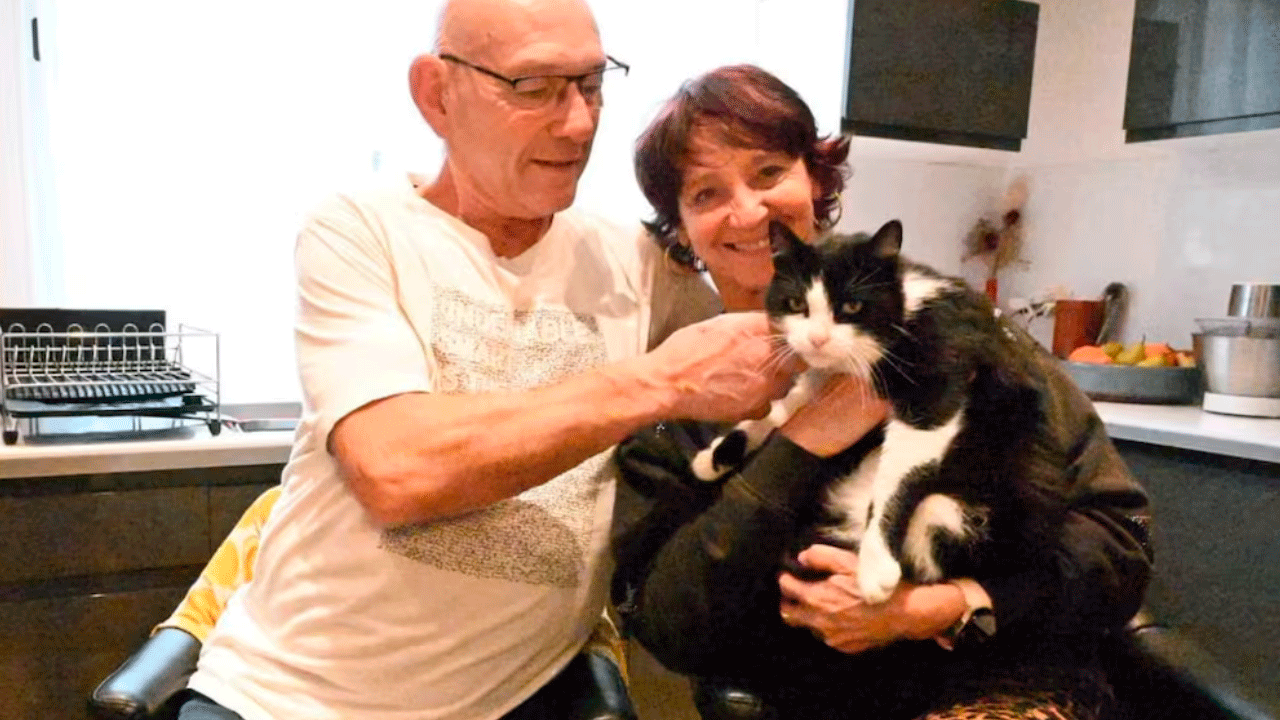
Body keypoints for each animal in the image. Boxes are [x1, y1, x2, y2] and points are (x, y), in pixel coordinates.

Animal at [692, 219, 1066, 604]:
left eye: (853, 305)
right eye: (795, 303)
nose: (817, 339)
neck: (903, 308)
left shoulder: (936, 381)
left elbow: (898, 477)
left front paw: (875, 564)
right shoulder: (826, 375)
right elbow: (786, 408)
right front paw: (716, 455)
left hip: (963, 512)